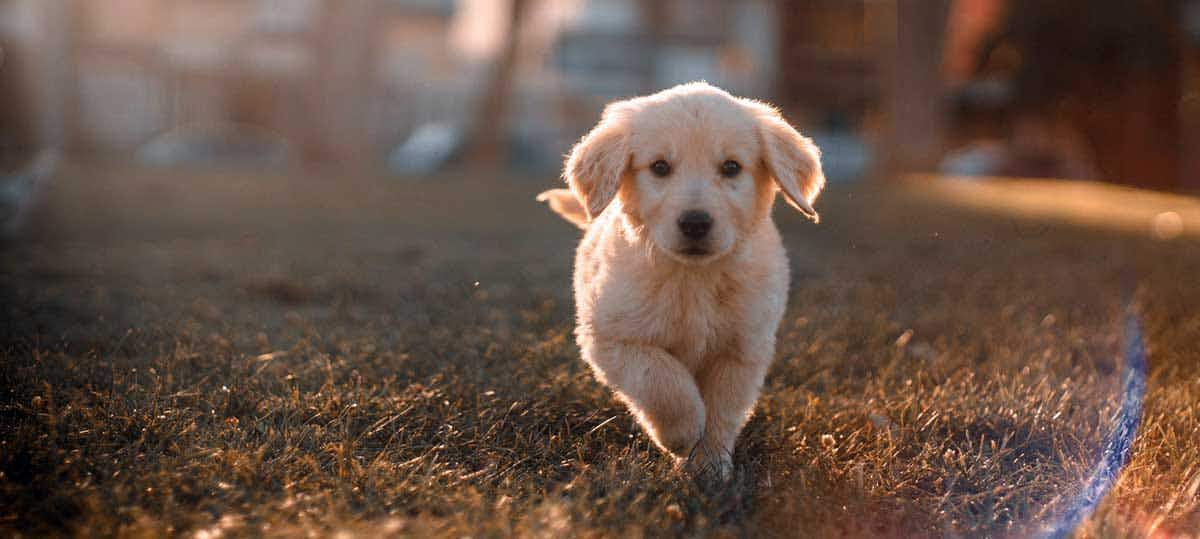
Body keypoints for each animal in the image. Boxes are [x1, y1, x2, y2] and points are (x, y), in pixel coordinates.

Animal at [537, 81, 825, 477]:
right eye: (660, 167)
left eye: (731, 167)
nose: (695, 223)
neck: (693, 278)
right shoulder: (611, 338)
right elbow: (661, 380)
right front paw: (683, 432)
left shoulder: (742, 349)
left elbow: (722, 410)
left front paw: (710, 465)